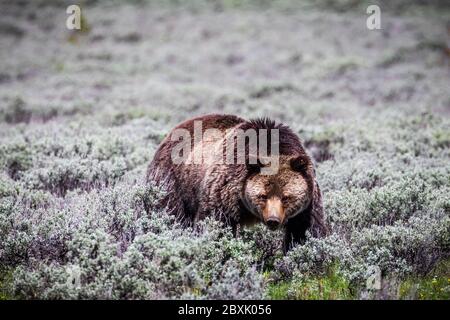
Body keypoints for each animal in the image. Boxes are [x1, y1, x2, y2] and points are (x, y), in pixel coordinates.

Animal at [147, 114, 326, 251]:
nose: (273, 220)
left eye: (286, 197)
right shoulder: (225, 190)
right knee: (170, 211)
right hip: (172, 181)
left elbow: (304, 231)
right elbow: (216, 223)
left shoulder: (307, 204)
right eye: (262, 195)